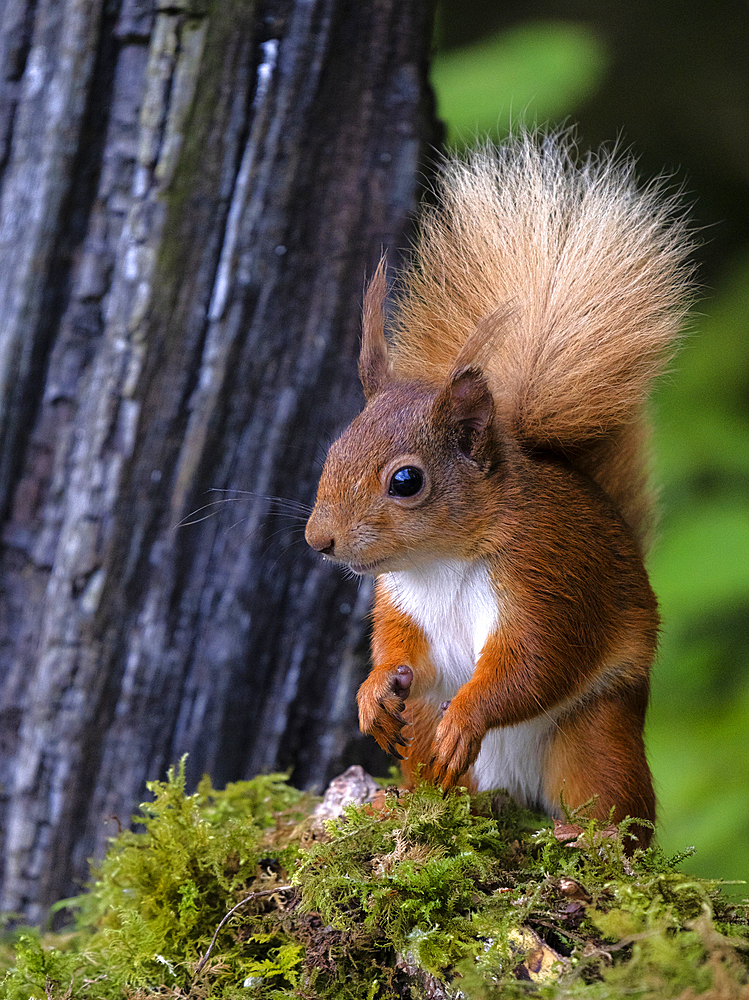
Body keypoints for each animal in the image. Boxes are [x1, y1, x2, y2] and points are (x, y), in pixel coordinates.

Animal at [302, 133, 688, 848]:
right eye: (331, 454)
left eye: (406, 481)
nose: (320, 541)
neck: (442, 559)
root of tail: (518, 795)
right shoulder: (400, 604)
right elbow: (401, 653)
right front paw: (373, 691)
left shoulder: (549, 576)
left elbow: (535, 664)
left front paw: (469, 716)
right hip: (426, 737)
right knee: (443, 779)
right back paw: (404, 804)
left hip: (594, 735)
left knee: (620, 806)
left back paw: (590, 838)